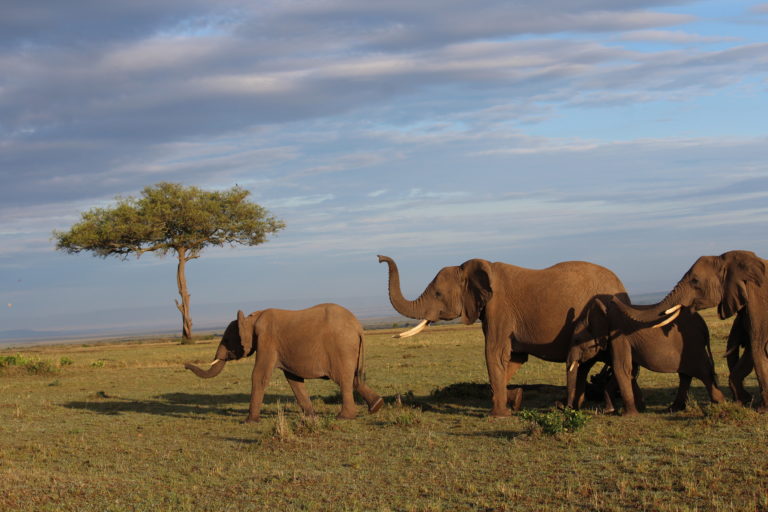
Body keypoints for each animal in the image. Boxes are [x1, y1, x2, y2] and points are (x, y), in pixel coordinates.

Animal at [186, 304, 384, 420]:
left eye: (226, 339)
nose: (185, 365)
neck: (252, 318)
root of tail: (358, 327)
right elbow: (294, 379)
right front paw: (311, 417)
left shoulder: (267, 340)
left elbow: (259, 375)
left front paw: (250, 421)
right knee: (354, 379)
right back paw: (376, 406)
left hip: (341, 347)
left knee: (343, 380)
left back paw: (344, 417)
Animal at [378, 255, 632, 416]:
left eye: (438, 294)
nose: (380, 258)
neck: (472, 267)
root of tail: (623, 288)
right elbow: (514, 358)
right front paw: (514, 400)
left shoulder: (499, 309)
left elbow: (494, 354)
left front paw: (498, 414)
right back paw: (571, 407)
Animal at [564, 298, 728, 414]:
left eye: (576, 340)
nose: (567, 408)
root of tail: (704, 325)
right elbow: (629, 370)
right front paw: (613, 410)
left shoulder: (619, 336)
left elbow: (620, 367)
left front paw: (628, 414)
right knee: (685, 375)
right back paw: (673, 409)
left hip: (692, 344)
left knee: (703, 372)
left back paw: (719, 402)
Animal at [612, 250, 768, 410]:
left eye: (695, 281)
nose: (613, 298)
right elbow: (752, 348)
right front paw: (745, 401)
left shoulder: (758, 300)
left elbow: (757, 347)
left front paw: (761, 409)